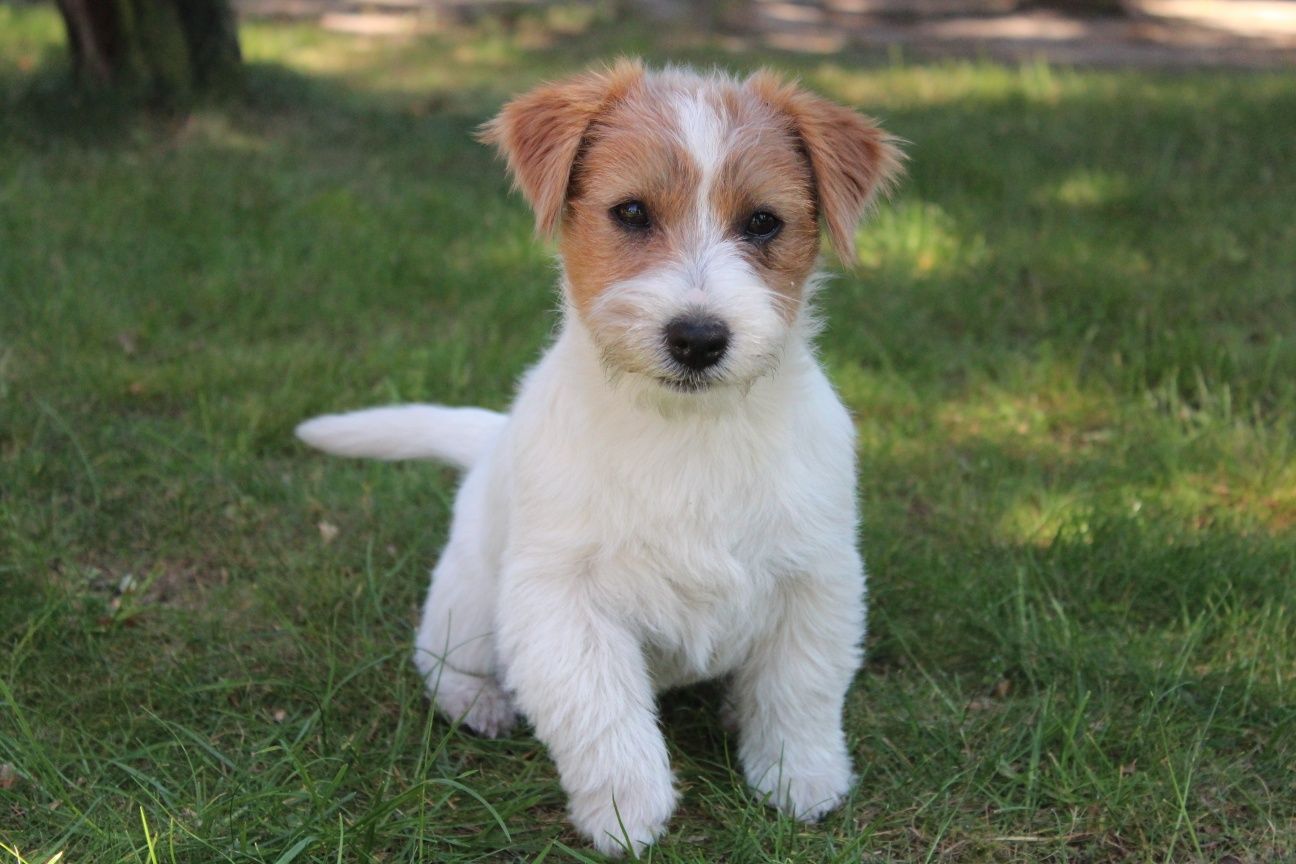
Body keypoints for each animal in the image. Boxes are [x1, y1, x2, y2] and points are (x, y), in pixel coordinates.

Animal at [296, 62, 902, 860]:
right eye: (632, 212)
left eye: (763, 222)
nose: (698, 338)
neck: (687, 433)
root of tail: (490, 439)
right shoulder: (561, 597)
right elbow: (602, 712)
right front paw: (627, 812)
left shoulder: (817, 575)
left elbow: (800, 689)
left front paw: (800, 778)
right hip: (469, 598)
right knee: (442, 657)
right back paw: (479, 698)